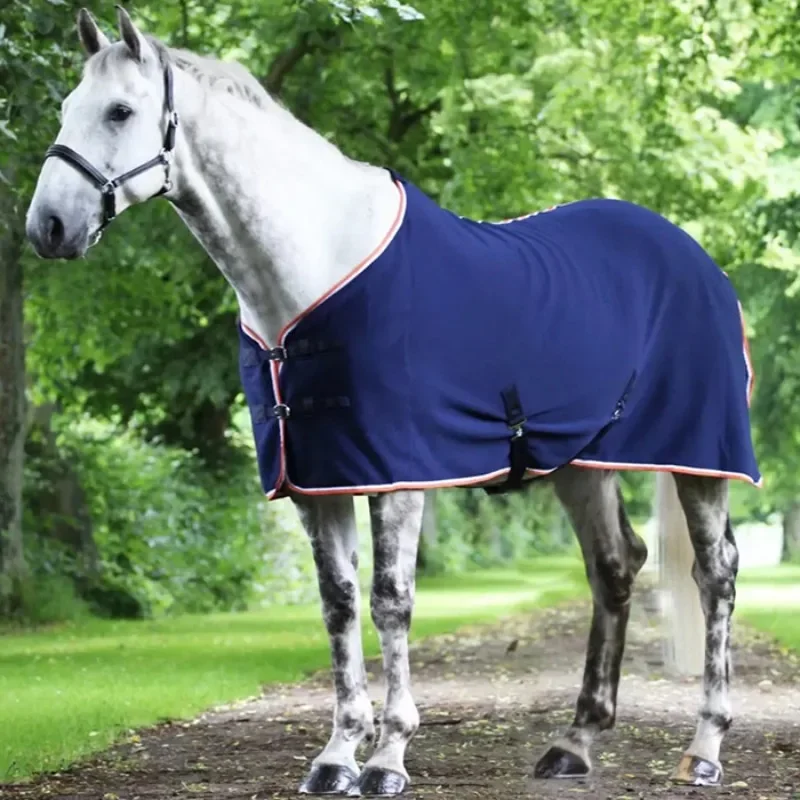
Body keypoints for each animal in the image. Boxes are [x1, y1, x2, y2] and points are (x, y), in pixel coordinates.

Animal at [25, 8, 761, 796]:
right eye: (66, 108)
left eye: (120, 111)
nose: (48, 227)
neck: (316, 265)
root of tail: (699, 260)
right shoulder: (316, 477)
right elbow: (339, 604)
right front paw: (338, 753)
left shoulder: (398, 474)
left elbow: (391, 600)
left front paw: (387, 756)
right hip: (580, 464)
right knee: (615, 567)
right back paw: (576, 743)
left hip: (699, 460)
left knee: (716, 573)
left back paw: (705, 745)